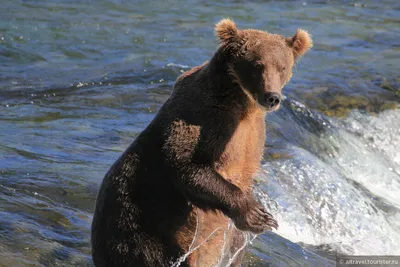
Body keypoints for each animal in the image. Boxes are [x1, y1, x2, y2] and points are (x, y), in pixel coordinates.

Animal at [91, 19, 312, 267]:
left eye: (282, 67)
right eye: (257, 65)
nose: (272, 97)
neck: (241, 103)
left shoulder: (252, 138)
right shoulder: (201, 118)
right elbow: (186, 165)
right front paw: (258, 215)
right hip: (140, 226)